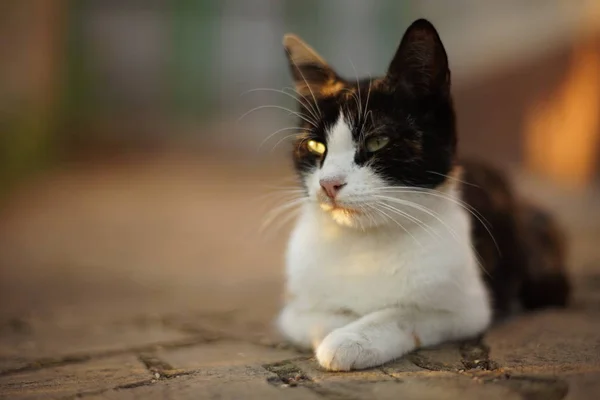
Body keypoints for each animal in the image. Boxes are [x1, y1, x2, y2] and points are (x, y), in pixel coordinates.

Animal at [274, 17, 568, 370]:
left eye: (377, 141)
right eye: (316, 146)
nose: (329, 183)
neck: (362, 244)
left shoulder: (469, 307)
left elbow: (405, 313)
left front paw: (353, 338)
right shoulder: (293, 309)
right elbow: (313, 316)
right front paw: (341, 323)